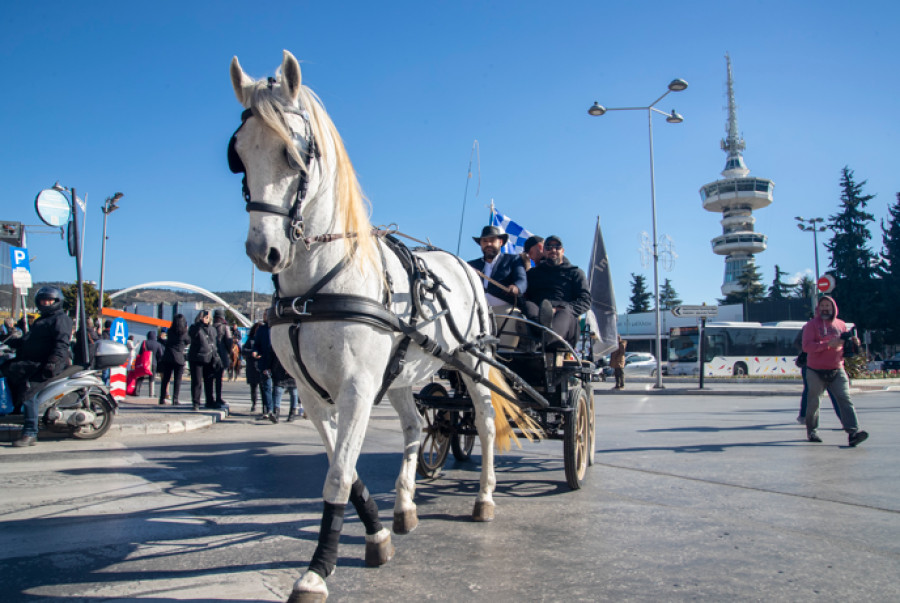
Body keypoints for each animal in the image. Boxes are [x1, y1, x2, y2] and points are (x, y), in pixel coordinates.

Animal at [230, 52, 512, 603]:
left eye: (294, 155)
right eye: (239, 157)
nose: (263, 251)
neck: (317, 283)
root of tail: (465, 264)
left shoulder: (358, 387)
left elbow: (338, 475)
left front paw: (318, 568)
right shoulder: (312, 392)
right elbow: (346, 467)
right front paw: (378, 533)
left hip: (471, 359)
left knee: (486, 423)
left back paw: (485, 498)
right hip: (402, 376)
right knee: (415, 427)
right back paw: (404, 506)